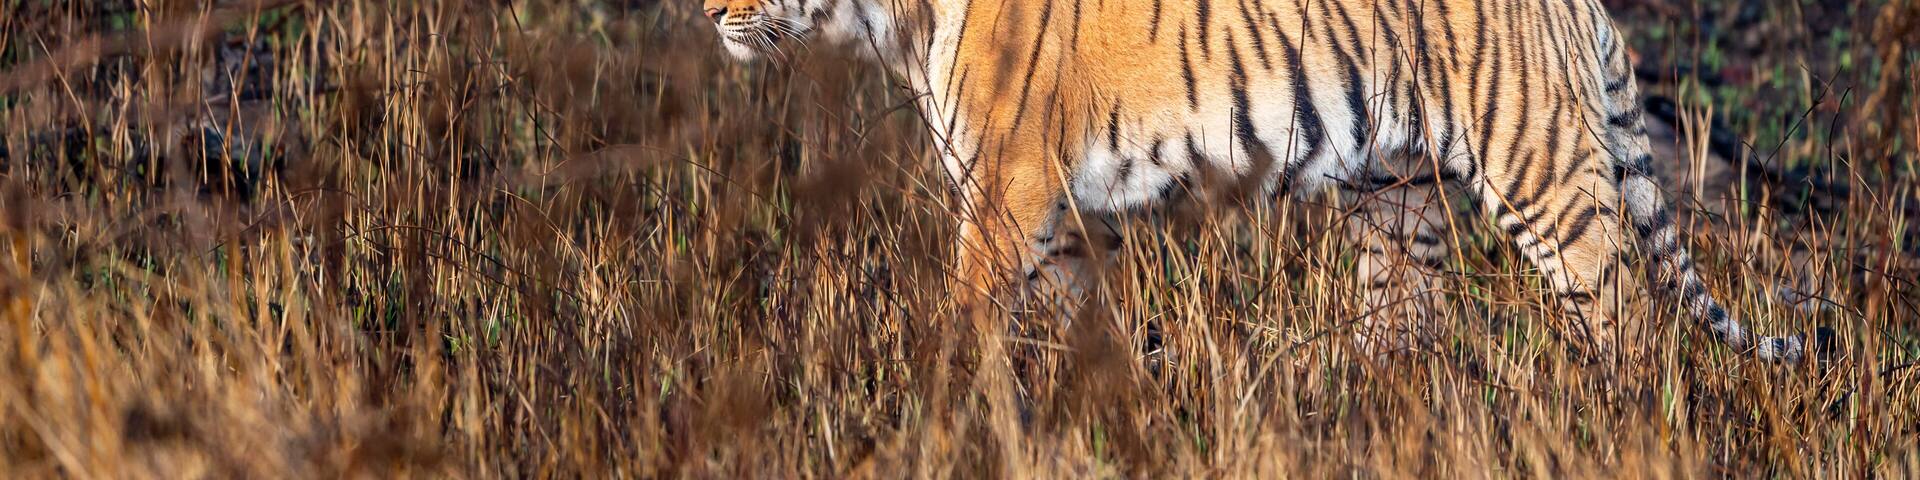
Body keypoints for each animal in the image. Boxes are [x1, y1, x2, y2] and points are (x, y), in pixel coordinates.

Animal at [699, 0, 1832, 362]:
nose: (709, 12)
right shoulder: (1060, 218)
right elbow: (1076, 328)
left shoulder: (1006, 192)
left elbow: (966, 316)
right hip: (1395, 199)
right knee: (1408, 327)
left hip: (1541, 169)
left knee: (1628, 320)